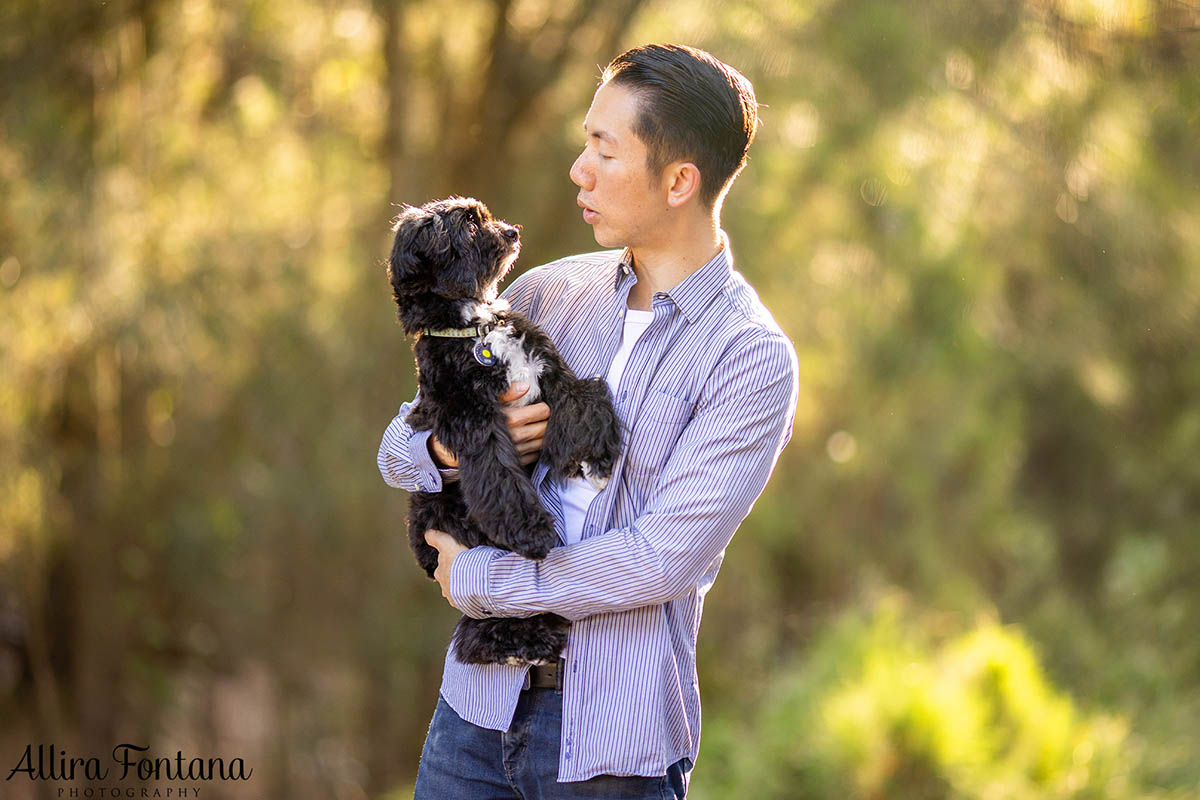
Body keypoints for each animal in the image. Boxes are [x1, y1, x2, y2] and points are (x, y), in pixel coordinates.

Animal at [388, 196, 624, 666]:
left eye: (483, 215)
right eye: (468, 225)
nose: (513, 231)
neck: (476, 329)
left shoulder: (548, 371)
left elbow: (589, 396)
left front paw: (597, 458)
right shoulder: (476, 425)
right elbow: (501, 479)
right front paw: (533, 533)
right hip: (446, 514)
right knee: (486, 607)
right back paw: (517, 642)